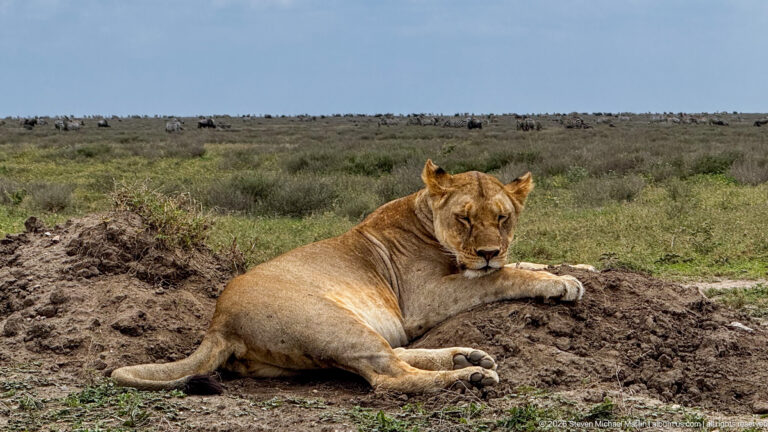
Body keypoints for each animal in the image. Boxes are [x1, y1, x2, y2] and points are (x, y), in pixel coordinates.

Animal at [111, 160, 588, 394]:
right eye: (465, 218)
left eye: (503, 218)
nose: (488, 251)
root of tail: (217, 322)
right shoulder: (424, 300)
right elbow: (499, 277)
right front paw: (560, 284)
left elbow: (521, 263)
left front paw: (577, 268)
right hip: (334, 322)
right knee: (389, 377)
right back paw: (466, 377)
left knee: (393, 355)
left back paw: (465, 357)